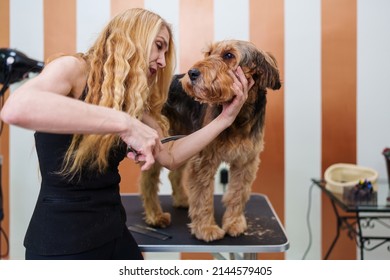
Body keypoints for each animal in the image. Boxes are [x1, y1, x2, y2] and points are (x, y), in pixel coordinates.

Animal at [139, 40, 280, 243]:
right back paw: (155, 216)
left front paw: (234, 223)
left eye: (229, 55)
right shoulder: (204, 161)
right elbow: (203, 196)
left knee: (174, 174)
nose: (192, 73)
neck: (239, 117)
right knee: (148, 180)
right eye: (209, 53)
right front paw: (206, 229)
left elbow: (237, 194)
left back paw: (182, 200)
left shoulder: (246, 162)